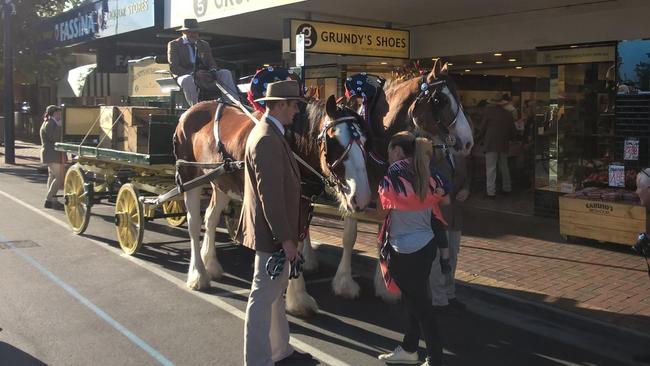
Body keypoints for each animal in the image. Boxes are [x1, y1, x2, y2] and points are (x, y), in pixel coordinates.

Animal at [173, 96, 370, 316]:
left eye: (364, 141)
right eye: (334, 140)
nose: (361, 196)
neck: (291, 144)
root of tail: (190, 110)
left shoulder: (301, 200)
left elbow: (297, 242)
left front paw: (296, 297)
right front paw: (297, 296)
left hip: (221, 181)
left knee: (211, 218)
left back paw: (211, 264)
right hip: (190, 178)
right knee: (194, 223)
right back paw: (198, 275)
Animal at [302, 60, 474, 300]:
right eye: (440, 100)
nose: (468, 142)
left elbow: (383, 232)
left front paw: (385, 286)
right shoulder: (352, 191)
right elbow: (349, 236)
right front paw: (345, 283)